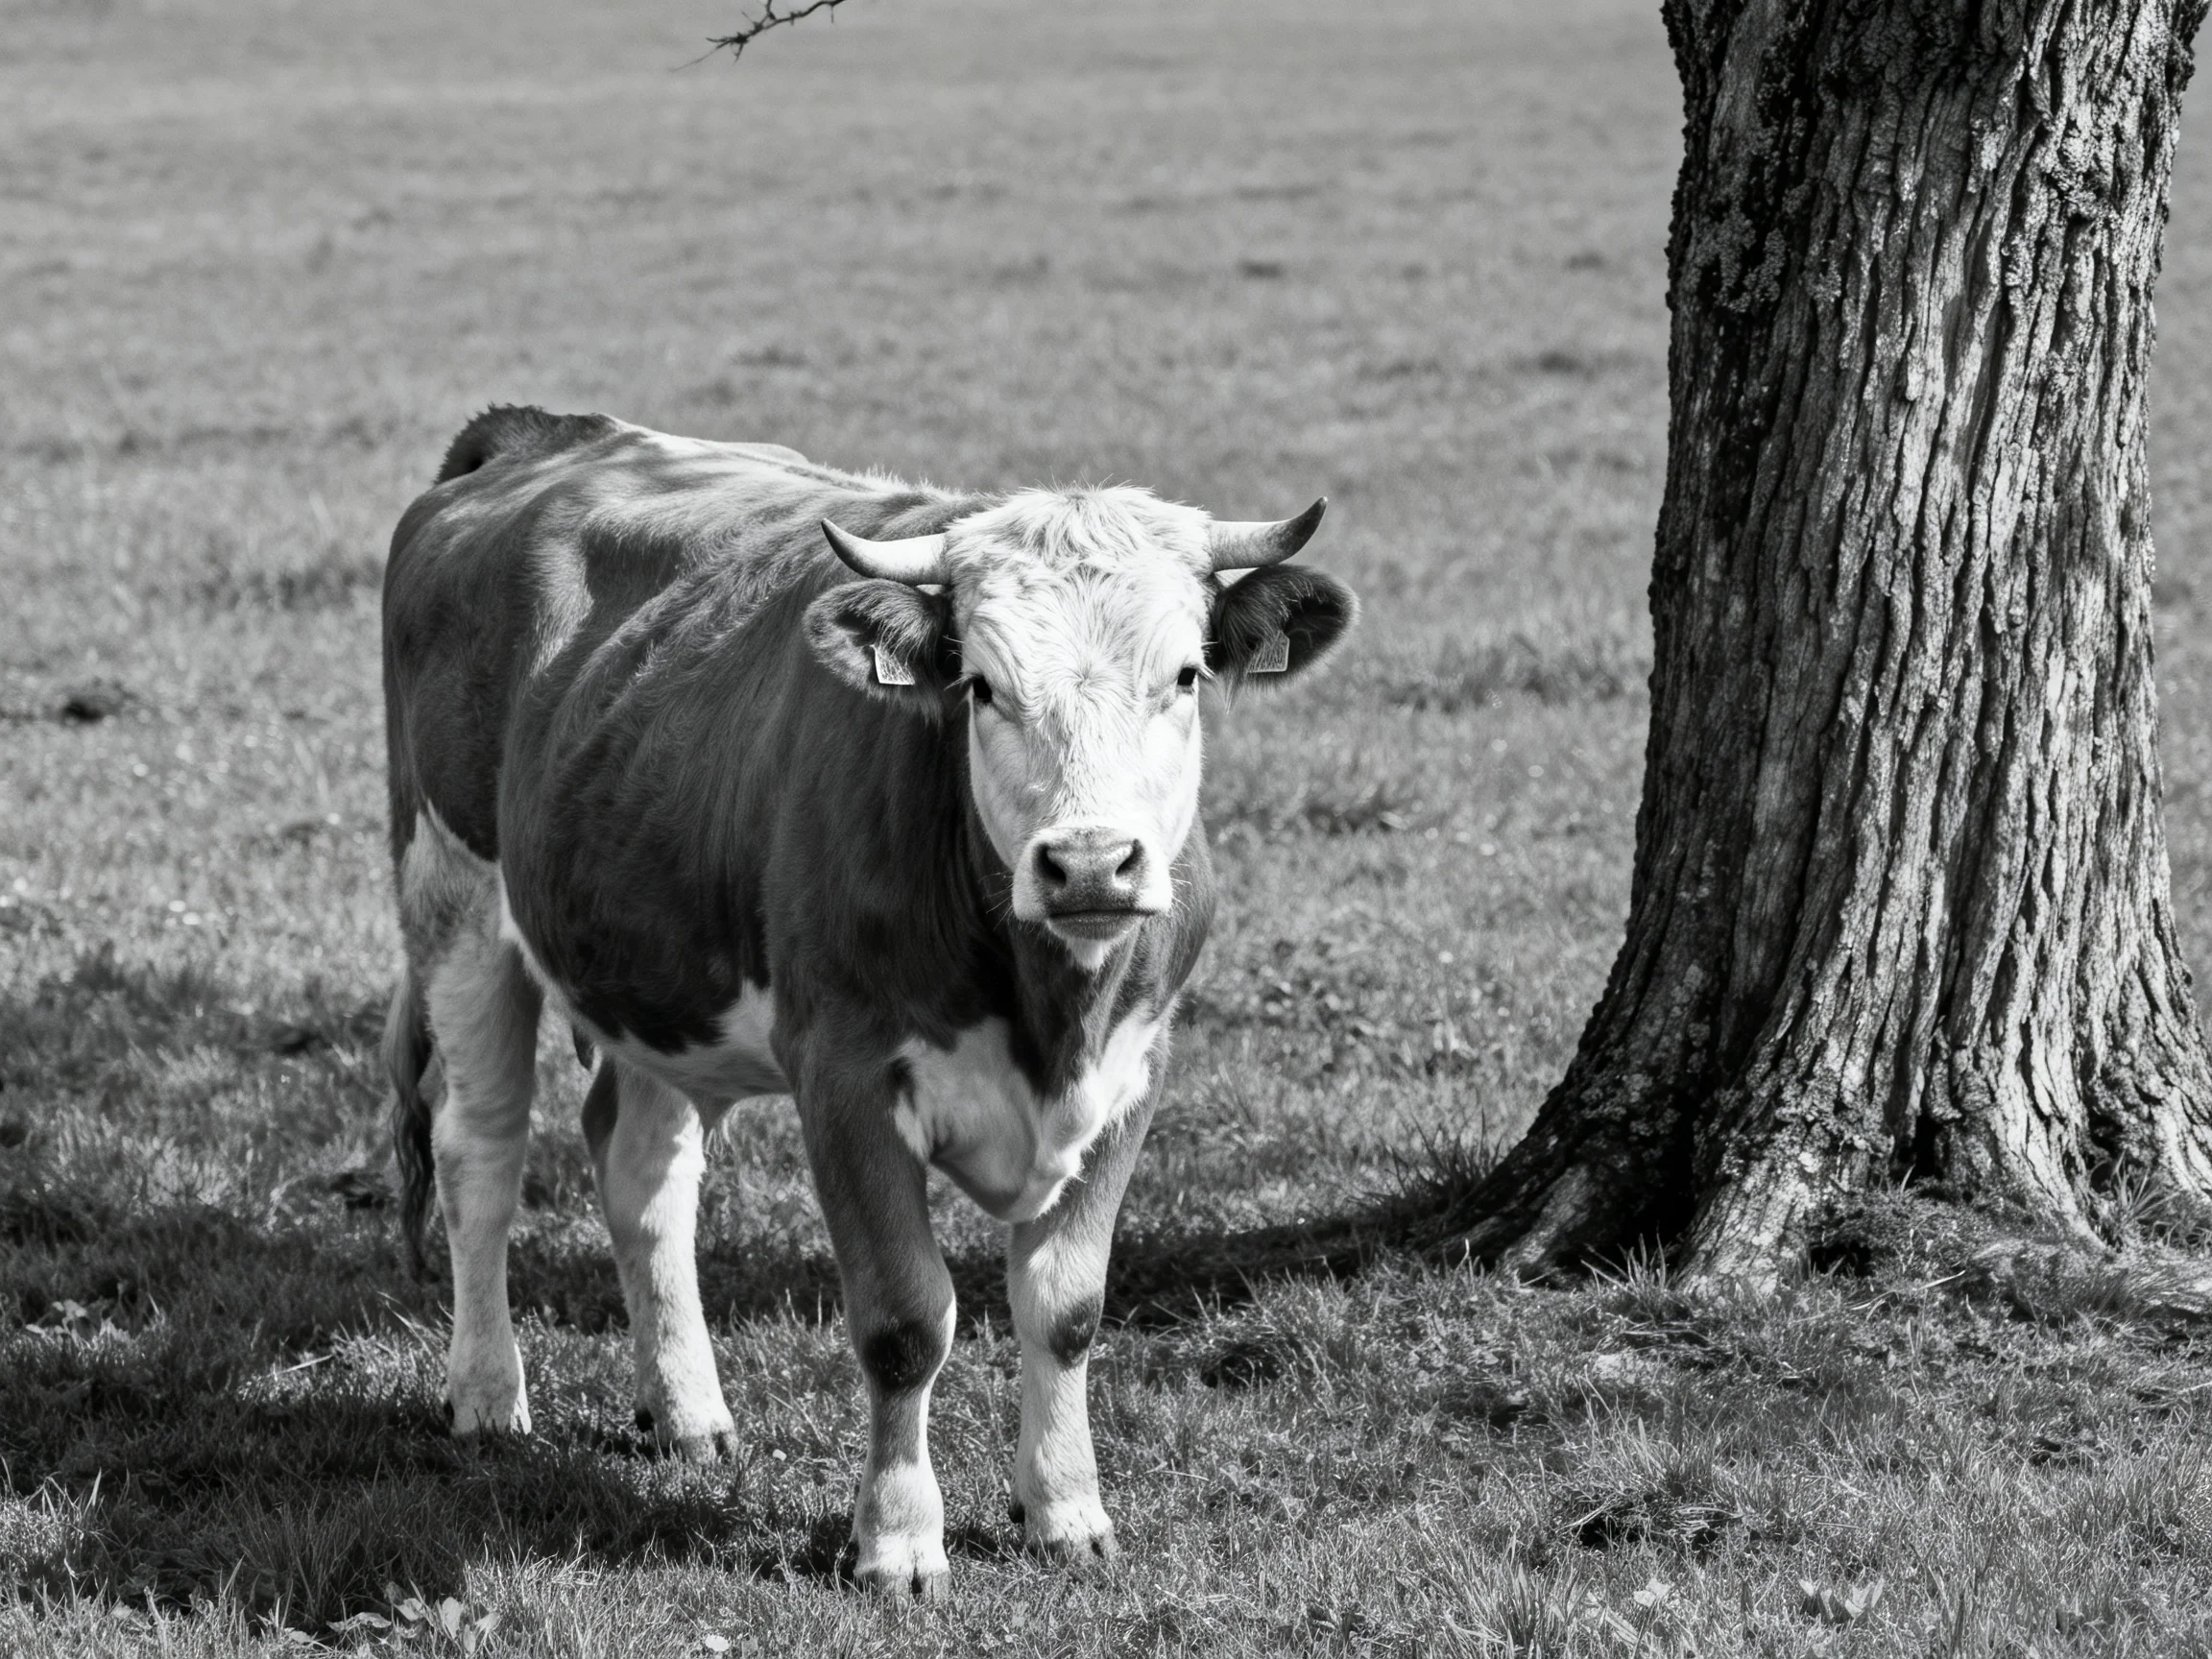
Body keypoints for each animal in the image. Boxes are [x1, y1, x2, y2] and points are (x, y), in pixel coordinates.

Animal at [379, 406, 1356, 1596]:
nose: (1089, 865)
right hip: (457, 901)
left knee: (643, 1171)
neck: (1046, 1010)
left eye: (1183, 676)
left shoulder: (1135, 1071)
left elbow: (1067, 1310)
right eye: (982, 685)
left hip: (655, 965)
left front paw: (1067, 1509)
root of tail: (544, 438)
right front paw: (897, 1539)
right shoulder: (843, 1075)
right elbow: (904, 1319)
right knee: (480, 1156)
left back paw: (686, 1411)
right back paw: (486, 1391)